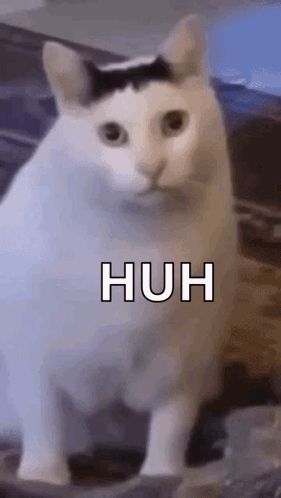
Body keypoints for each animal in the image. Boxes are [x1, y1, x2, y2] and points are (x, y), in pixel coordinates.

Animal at [0, 16, 236, 486]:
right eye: (111, 135)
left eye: (174, 123)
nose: (151, 167)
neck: (139, 245)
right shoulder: (32, 356)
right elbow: (44, 421)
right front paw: (42, 478)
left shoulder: (185, 363)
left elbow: (170, 428)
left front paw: (162, 477)